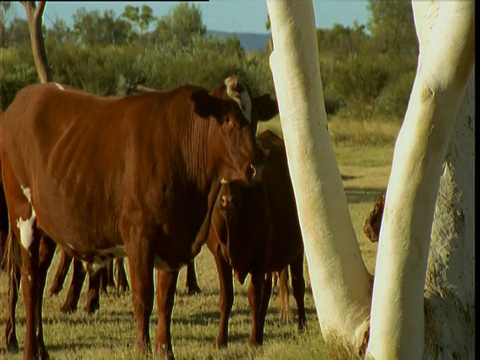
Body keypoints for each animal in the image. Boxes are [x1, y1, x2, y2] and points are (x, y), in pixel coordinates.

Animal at [0, 79, 266, 360]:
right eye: (228, 119)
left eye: (255, 119)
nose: (256, 165)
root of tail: (25, 97)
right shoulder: (140, 236)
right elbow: (143, 295)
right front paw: (143, 346)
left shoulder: (174, 240)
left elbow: (165, 299)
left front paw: (165, 349)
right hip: (23, 217)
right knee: (29, 284)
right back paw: (30, 349)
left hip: (46, 231)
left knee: (39, 282)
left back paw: (42, 348)